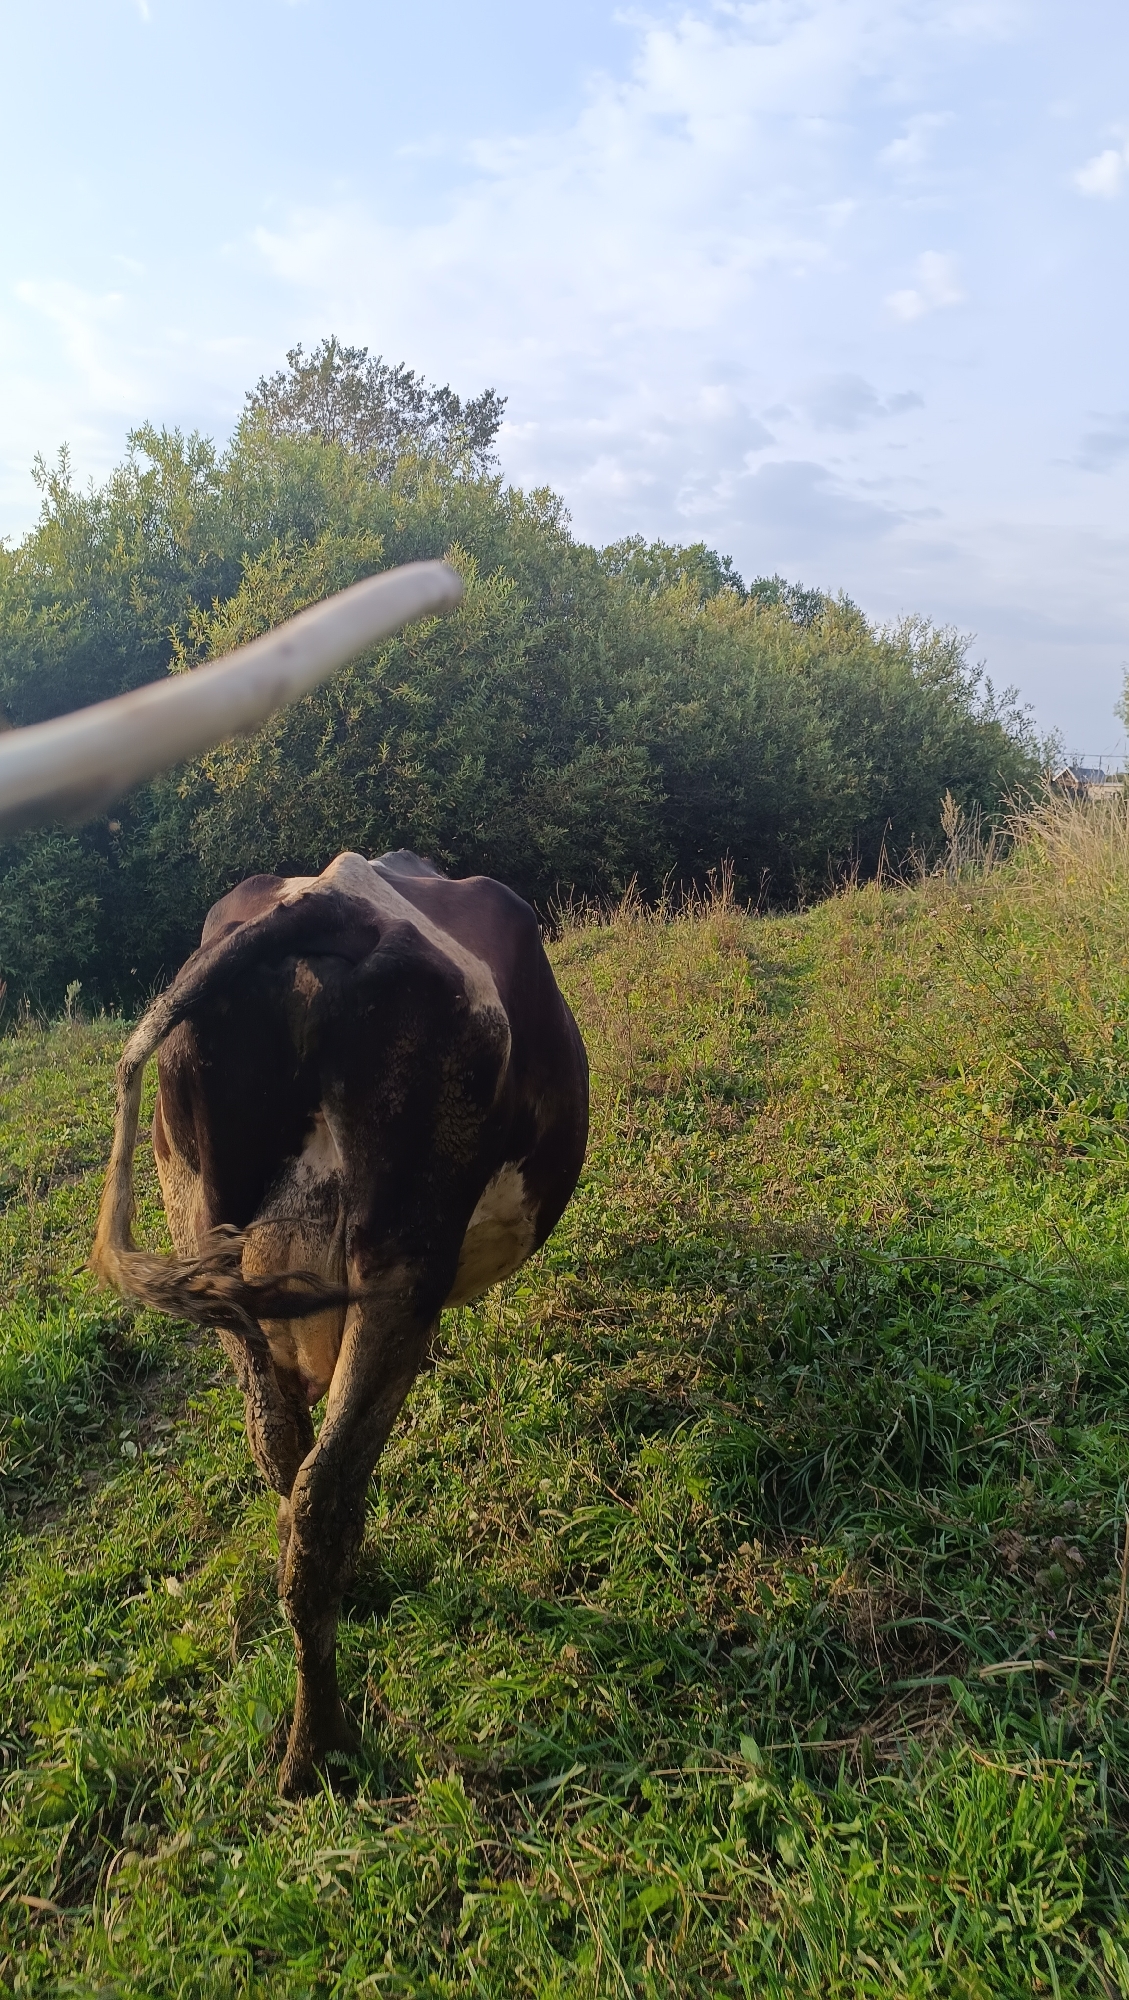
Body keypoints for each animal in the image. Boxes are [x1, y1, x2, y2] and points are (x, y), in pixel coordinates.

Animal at [91, 846, 589, 1796]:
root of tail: (327, 903)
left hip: (206, 1240)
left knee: (281, 1458)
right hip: (399, 1260)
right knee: (323, 1495)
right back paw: (319, 1747)